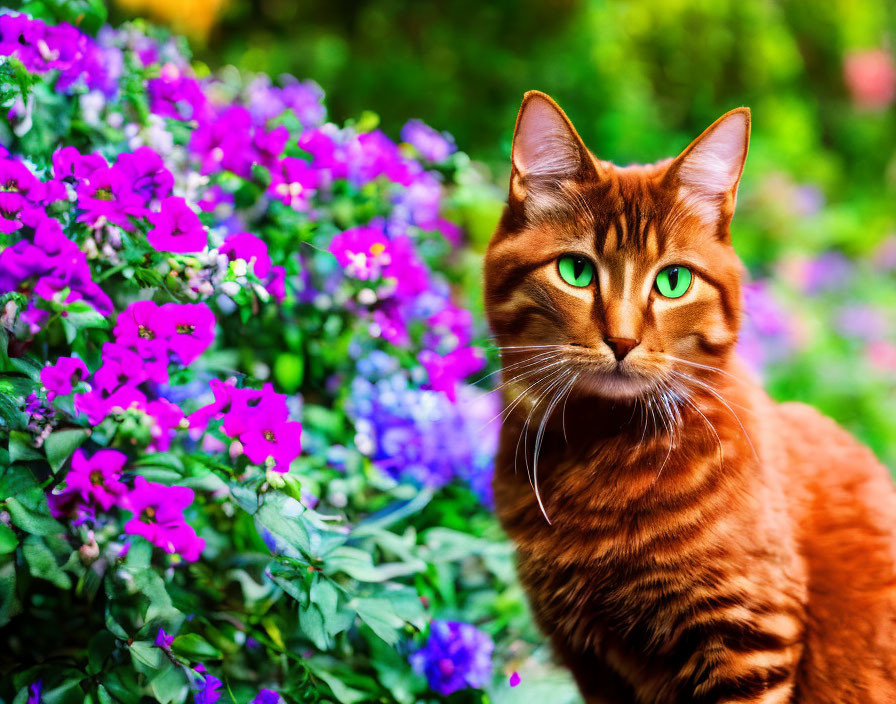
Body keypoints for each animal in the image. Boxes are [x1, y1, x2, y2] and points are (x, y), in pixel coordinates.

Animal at [486, 91, 892, 700]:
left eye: (673, 282)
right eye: (576, 270)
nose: (622, 339)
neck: (606, 455)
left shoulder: (748, 637)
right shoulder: (589, 661)